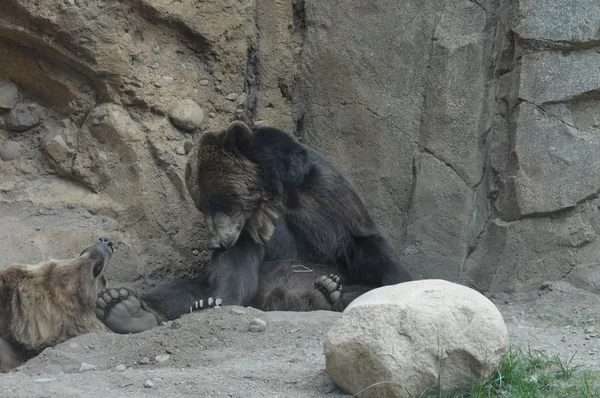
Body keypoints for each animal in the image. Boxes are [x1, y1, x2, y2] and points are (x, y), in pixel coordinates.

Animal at [96, 119, 412, 334]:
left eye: (218, 200)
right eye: (200, 205)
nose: (214, 243)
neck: (271, 194)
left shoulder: (323, 196)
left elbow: (361, 244)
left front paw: (399, 282)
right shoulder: (247, 230)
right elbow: (235, 266)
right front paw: (215, 301)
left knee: (353, 290)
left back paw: (327, 294)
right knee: (177, 289)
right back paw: (123, 306)